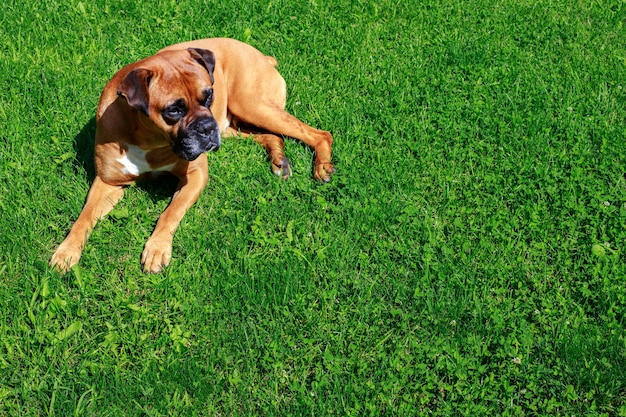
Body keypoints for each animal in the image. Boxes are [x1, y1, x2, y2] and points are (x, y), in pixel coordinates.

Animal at [49, 37, 334, 272]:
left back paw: (322, 166)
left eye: (208, 96)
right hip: (235, 124)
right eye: (173, 110)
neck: (148, 138)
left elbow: (170, 213)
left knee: (320, 134)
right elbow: (84, 217)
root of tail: (261, 55)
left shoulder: (195, 175)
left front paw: (157, 248)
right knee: (273, 136)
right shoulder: (108, 182)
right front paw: (66, 251)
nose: (206, 127)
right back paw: (279, 161)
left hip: (252, 106)